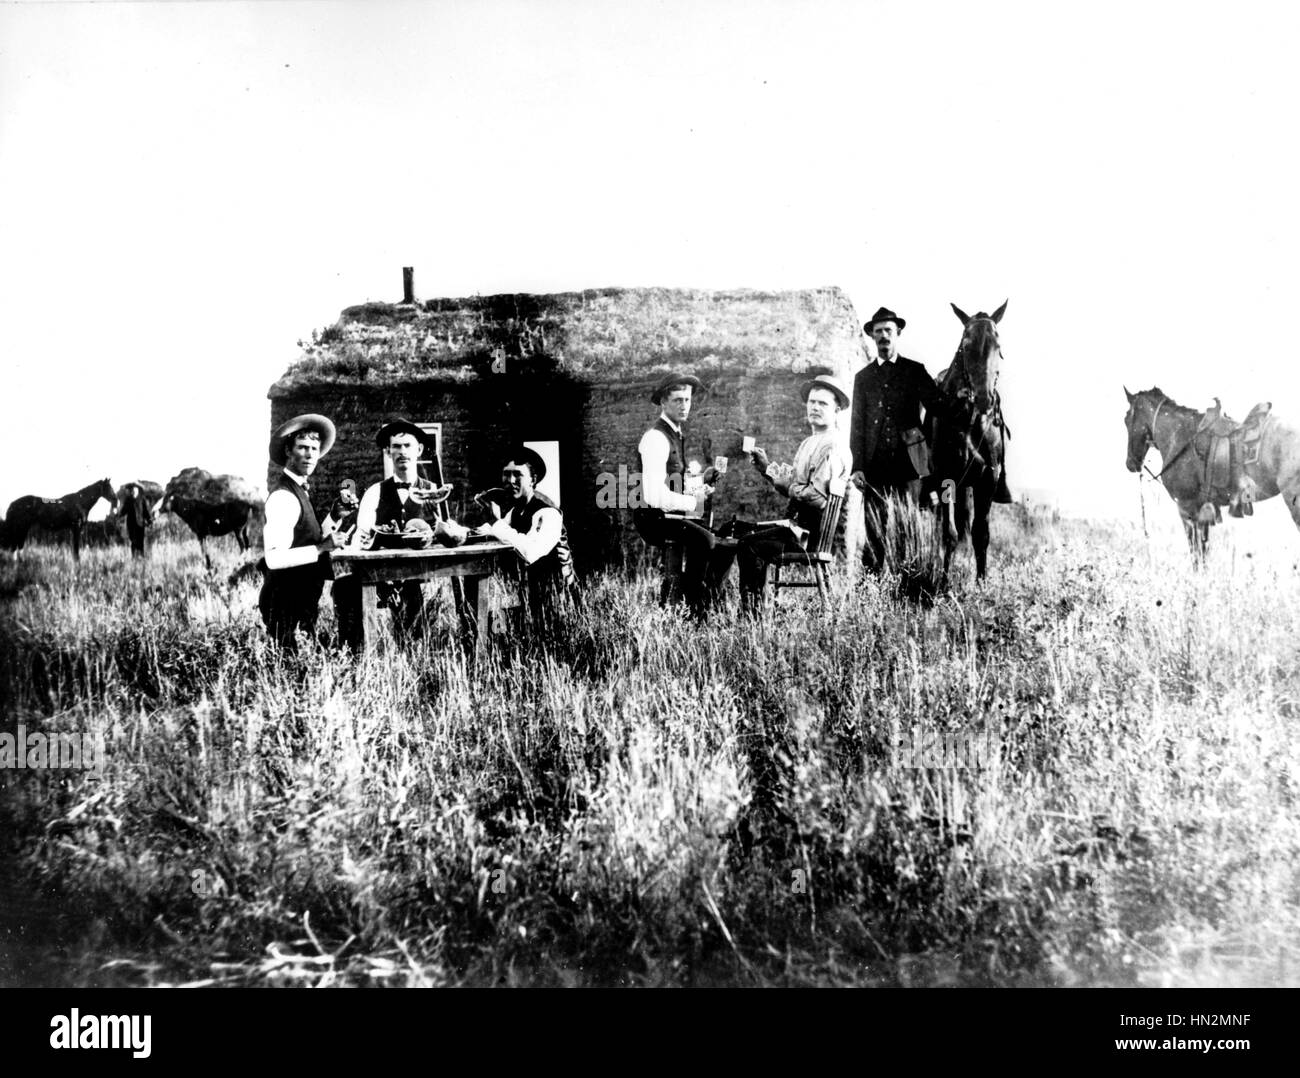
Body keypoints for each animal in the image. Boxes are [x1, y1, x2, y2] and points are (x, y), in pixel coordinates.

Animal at [930, 299, 1008, 579]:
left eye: (998, 346)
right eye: (966, 345)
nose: (985, 398)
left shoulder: (988, 480)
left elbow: (981, 535)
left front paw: (982, 581)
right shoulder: (946, 478)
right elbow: (949, 534)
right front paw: (943, 582)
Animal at [1118, 387, 1300, 553]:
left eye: (1127, 419)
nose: (1131, 464)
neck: (1180, 436)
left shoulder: (1186, 508)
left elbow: (1195, 552)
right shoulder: (1202, 510)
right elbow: (1203, 550)